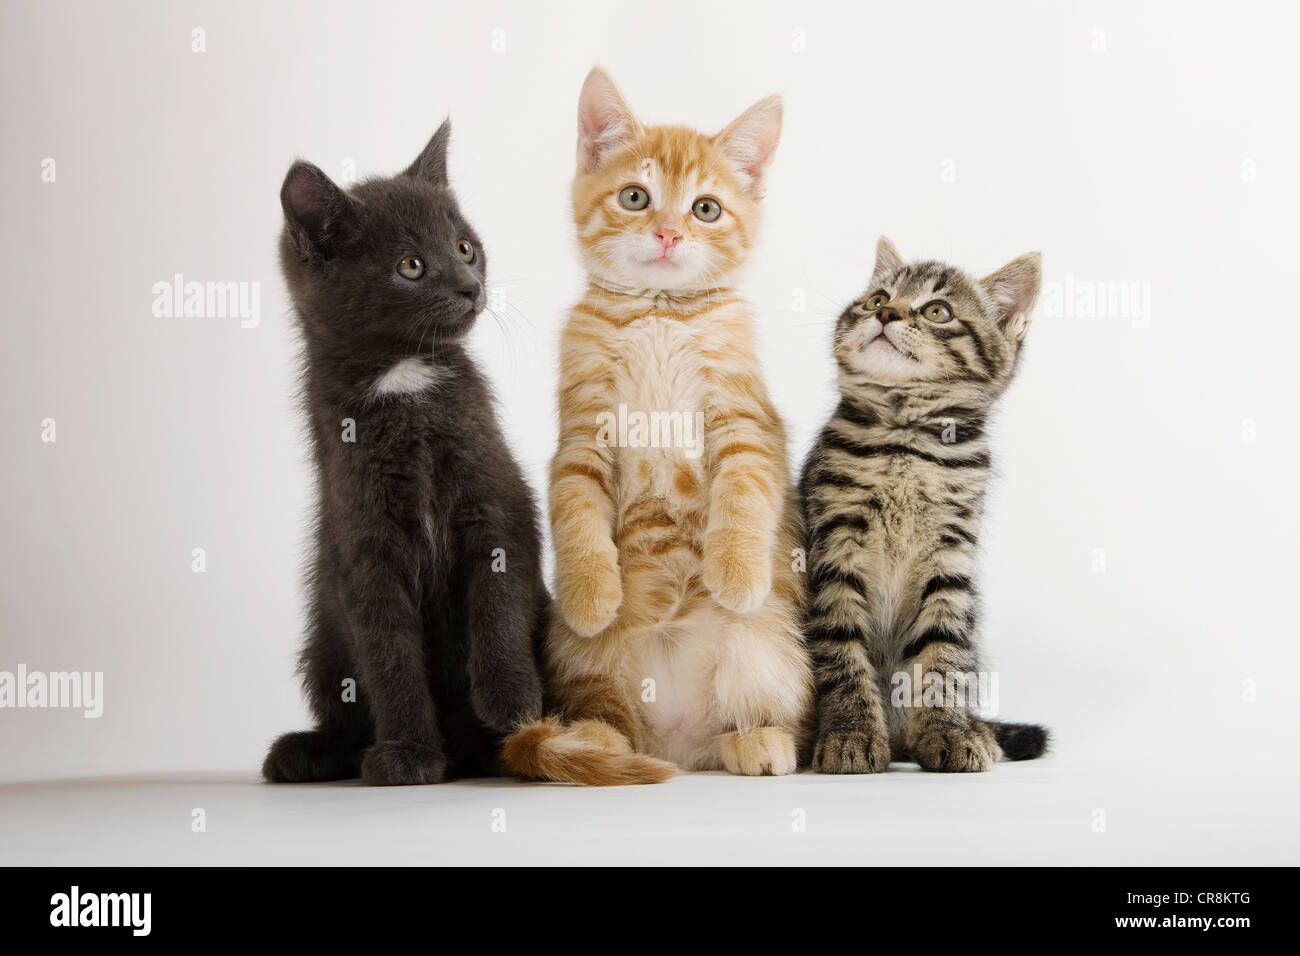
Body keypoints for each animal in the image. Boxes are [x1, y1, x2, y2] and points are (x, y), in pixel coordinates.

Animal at [261, 123, 546, 790]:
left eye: (465, 248)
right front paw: (409, 752)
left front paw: (512, 700)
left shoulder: (498, 502)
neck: (405, 380)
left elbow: (498, 605)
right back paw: (309, 751)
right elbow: (388, 657)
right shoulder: (363, 544)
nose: (472, 287)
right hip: (322, 637)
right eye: (411, 266)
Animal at [501, 67, 806, 785]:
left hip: (770, 645)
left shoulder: (745, 419)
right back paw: (592, 741)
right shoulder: (582, 431)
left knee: (751, 714)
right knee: (610, 715)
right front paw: (591, 591)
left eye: (706, 209)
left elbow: (746, 491)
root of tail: (677, 743)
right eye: (635, 197)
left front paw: (736, 570)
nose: (668, 233)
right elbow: (574, 506)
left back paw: (758, 740)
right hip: (578, 656)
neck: (659, 312)